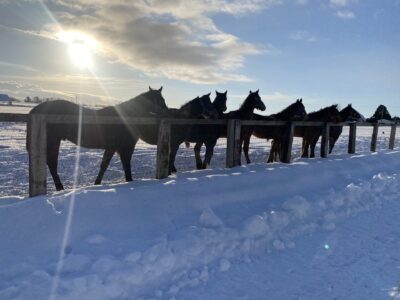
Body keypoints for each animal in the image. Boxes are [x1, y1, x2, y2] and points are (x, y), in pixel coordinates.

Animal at [26, 86, 167, 190]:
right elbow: (126, 166)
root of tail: (37, 109)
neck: (125, 117)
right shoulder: (125, 148)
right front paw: (129, 181)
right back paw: (60, 188)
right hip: (53, 141)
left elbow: (104, 165)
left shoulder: (111, 148)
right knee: (52, 164)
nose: (167, 112)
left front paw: (97, 183)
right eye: (160, 100)